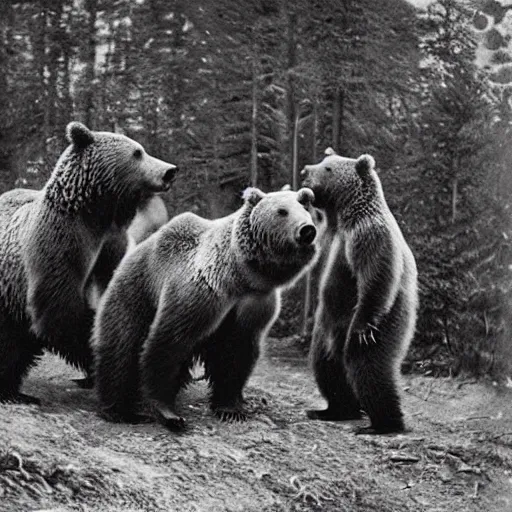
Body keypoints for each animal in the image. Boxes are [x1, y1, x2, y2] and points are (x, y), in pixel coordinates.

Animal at [0, 121, 178, 404]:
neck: (95, 214)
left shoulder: (111, 246)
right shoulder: (58, 243)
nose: (169, 171)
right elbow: (61, 310)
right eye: (137, 152)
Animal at [91, 186, 316, 430]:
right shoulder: (201, 292)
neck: (240, 275)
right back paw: (119, 410)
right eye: (282, 211)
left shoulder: (255, 302)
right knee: (121, 345)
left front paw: (231, 409)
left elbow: (237, 351)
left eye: (304, 208)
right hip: (136, 290)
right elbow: (168, 343)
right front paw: (169, 412)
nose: (307, 230)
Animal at [302, 148, 418, 436]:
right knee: (325, 365)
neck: (341, 215)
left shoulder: (367, 235)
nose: (305, 171)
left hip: (389, 320)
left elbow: (374, 275)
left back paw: (383, 424)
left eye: (328, 168)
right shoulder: (326, 236)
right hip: (326, 330)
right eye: (323, 161)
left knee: (367, 365)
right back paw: (332, 410)